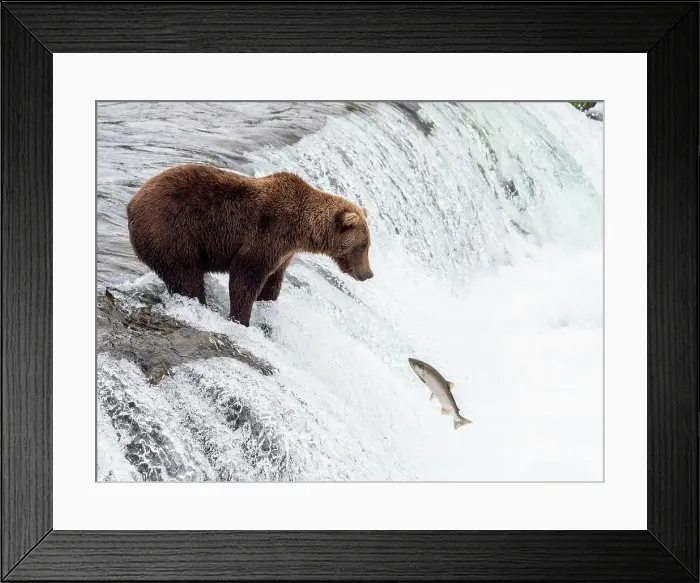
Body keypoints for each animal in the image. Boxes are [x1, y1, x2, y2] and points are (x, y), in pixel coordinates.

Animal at [126, 163, 373, 326]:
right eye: (362, 246)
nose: (368, 274)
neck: (302, 229)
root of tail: (132, 203)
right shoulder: (268, 234)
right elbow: (245, 278)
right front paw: (241, 319)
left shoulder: (284, 253)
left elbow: (273, 281)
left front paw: (267, 302)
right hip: (172, 231)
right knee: (186, 276)